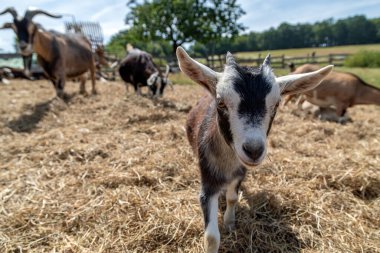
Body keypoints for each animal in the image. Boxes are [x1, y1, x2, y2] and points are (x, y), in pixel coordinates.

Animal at [177, 46, 332, 252]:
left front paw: (230, 223)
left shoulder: (240, 173)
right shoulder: (208, 180)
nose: (253, 150)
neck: (228, 163)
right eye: (221, 102)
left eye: (276, 104)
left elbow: (233, 198)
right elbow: (211, 237)